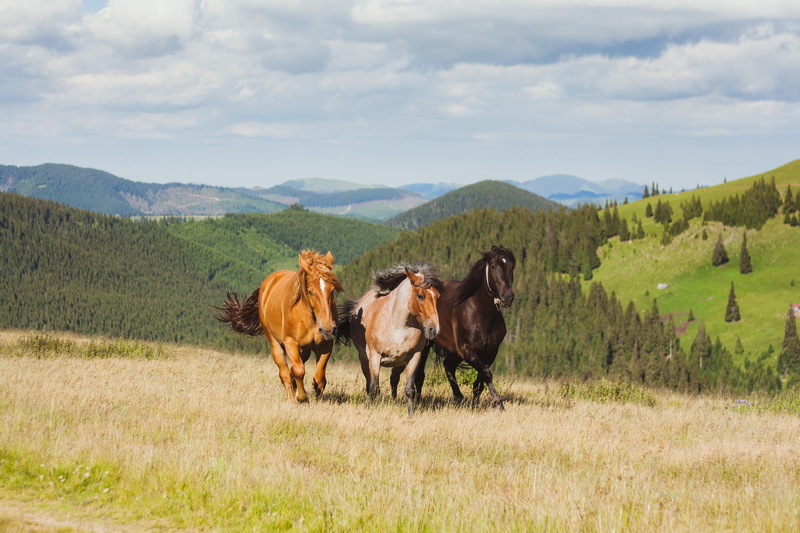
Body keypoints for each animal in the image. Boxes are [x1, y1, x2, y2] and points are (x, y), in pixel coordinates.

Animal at [215, 250, 343, 402]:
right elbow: (298, 370)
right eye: (310, 291)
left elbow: (319, 377)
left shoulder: (325, 345)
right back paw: (292, 396)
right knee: (285, 371)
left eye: (332, 289)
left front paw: (317, 395)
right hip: (274, 341)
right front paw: (302, 397)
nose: (328, 329)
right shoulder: (290, 342)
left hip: (304, 349)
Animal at [336, 261, 443, 416]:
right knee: (369, 383)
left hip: (399, 364)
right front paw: (372, 410)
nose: (434, 330)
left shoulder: (414, 357)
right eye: (420, 296)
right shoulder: (375, 357)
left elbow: (409, 388)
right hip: (364, 360)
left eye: (437, 296)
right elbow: (374, 388)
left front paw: (410, 414)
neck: (398, 326)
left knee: (394, 379)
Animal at [414, 245, 516, 410]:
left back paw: (458, 397)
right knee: (420, 375)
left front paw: (475, 404)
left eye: (511, 266)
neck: (481, 314)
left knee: (448, 365)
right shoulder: (466, 350)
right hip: (427, 345)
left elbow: (480, 381)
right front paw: (499, 403)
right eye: (493, 266)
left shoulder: (490, 352)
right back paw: (417, 401)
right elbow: (487, 374)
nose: (507, 297)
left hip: (454, 350)